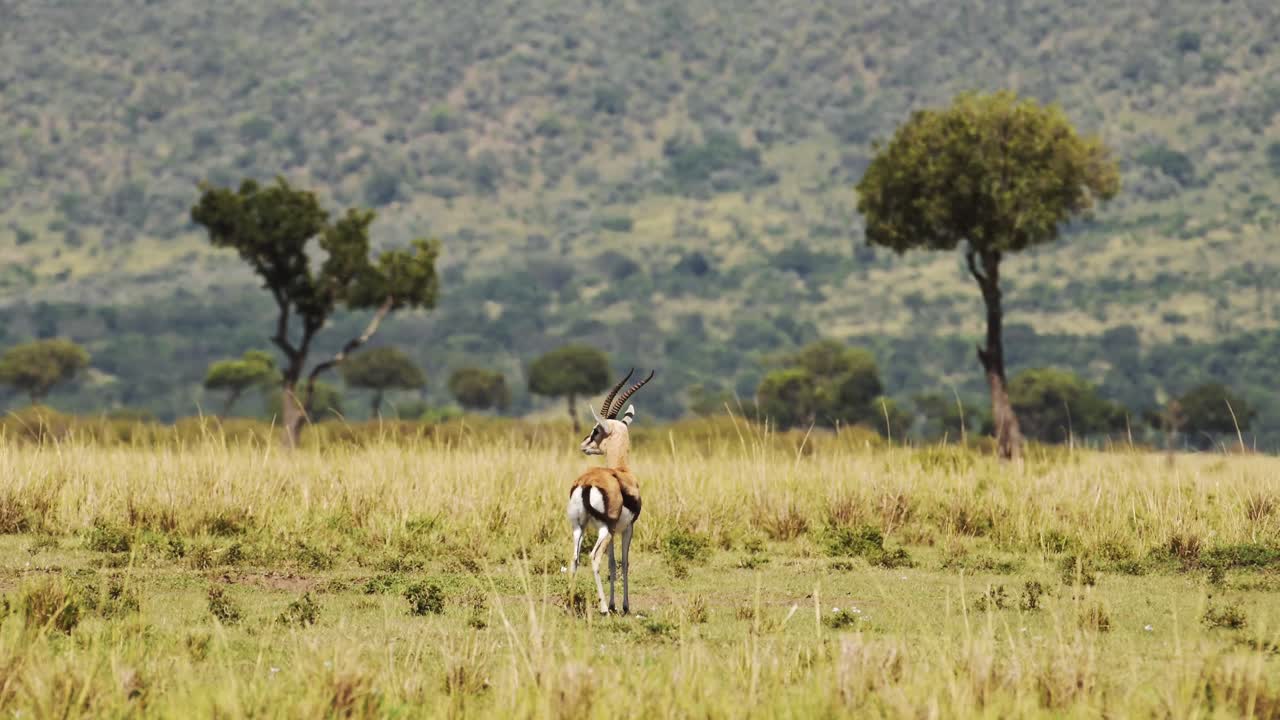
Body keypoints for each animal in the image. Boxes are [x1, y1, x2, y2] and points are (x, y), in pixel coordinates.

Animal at [567, 369, 654, 615]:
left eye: (596, 430)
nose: (584, 445)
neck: (621, 471)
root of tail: (586, 484)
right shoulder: (626, 528)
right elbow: (623, 564)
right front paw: (623, 606)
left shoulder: (615, 531)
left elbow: (612, 564)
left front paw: (616, 604)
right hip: (602, 530)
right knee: (593, 557)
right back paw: (604, 608)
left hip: (579, 528)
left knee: (574, 560)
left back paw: (571, 604)